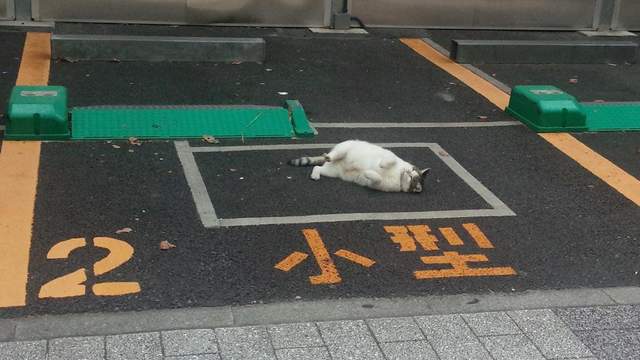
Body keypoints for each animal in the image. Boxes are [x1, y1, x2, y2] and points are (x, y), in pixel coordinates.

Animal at [286, 139, 428, 193]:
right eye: (412, 170)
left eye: (413, 178)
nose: (408, 172)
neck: (398, 176)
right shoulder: (390, 156)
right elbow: (390, 159)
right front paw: (382, 164)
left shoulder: (377, 185)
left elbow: (377, 179)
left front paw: (368, 173)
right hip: (345, 147)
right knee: (334, 154)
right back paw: (329, 156)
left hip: (332, 171)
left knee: (318, 168)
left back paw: (316, 173)